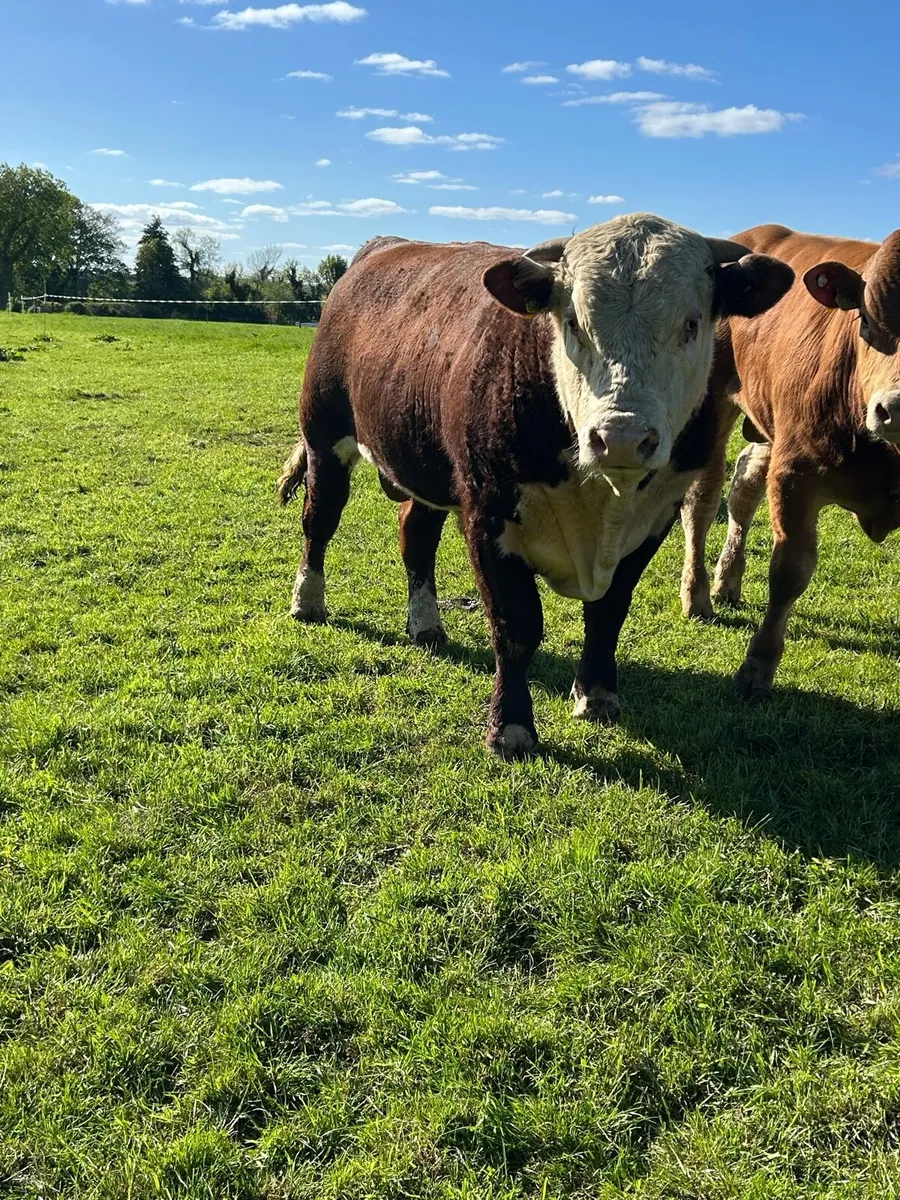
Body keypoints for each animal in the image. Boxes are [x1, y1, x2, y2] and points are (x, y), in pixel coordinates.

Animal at [278, 214, 793, 755]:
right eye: (573, 323)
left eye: (691, 324)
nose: (623, 438)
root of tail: (382, 247)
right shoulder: (487, 515)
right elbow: (517, 625)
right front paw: (511, 727)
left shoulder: (654, 521)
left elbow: (609, 612)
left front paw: (597, 694)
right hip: (325, 437)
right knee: (320, 521)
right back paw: (308, 601)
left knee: (415, 535)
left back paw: (425, 623)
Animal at [680, 223, 900, 701]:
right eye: (867, 321)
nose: (896, 407)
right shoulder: (796, 475)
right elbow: (789, 572)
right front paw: (756, 669)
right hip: (710, 406)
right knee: (702, 501)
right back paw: (698, 593)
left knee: (743, 486)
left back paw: (728, 580)